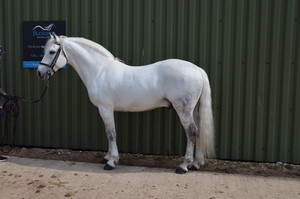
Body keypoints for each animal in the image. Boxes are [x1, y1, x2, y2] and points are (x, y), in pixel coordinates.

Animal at [37, 33, 214, 173]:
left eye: (52, 52)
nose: (40, 73)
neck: (99, 71)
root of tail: (197, 69)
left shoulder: (105, 109)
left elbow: (111, 134)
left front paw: (111, 162)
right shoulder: (106, 110)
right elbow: (109, 134)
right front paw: (108, 157)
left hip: (183, 110)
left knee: (191, 133)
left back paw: (184, 166)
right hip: (193, 110)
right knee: (198, 131)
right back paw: (196, 163)